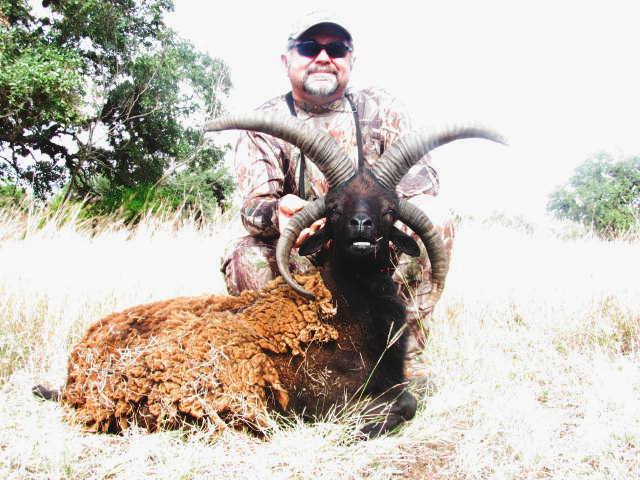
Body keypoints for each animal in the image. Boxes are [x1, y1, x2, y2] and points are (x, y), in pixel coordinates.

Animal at [35, 113, 502, 438]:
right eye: (335, 208)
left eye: (388, 210)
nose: (361, 227)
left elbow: (408, 398)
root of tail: (76, 371)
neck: (350, 305)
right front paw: (362, 426)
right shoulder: (323, 393)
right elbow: (402, 404)